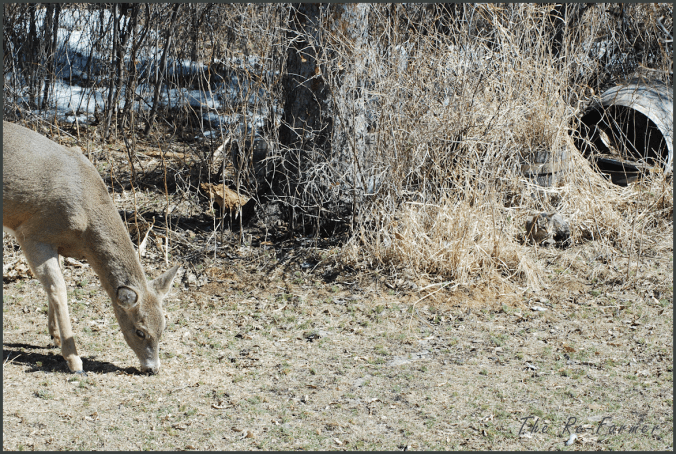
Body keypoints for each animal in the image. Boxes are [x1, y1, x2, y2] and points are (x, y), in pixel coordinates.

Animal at [3, 121, 180, 375]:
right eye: (139, 331)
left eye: (164, 327)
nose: (152, 368)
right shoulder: (33, 233)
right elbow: (58, 288)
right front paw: (75, 361)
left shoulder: (55, 243)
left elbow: (52, 285)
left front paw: (54, 336)